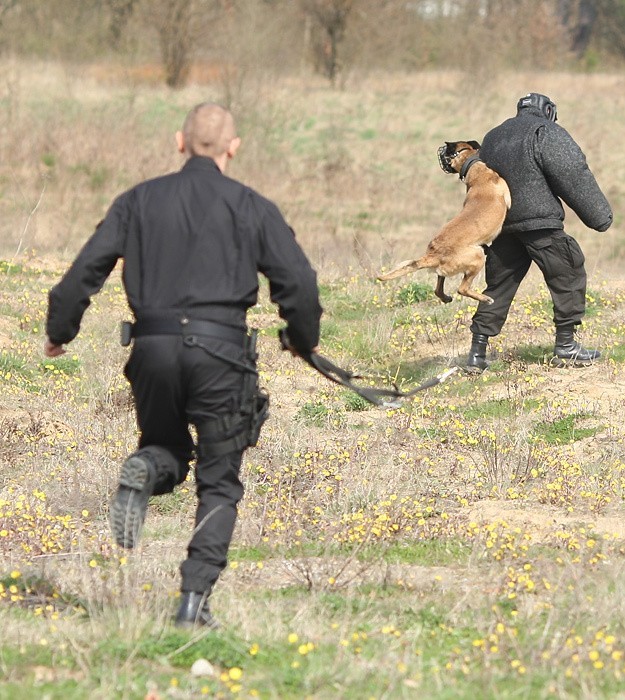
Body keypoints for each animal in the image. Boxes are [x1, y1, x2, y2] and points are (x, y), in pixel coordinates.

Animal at [378, 142, 510, 304]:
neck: (474, 170)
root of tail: (433, 255)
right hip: (477, 256)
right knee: (462, 289)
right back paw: (485, 299)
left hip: (450, 267)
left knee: (438, 288)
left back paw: (446, 297)